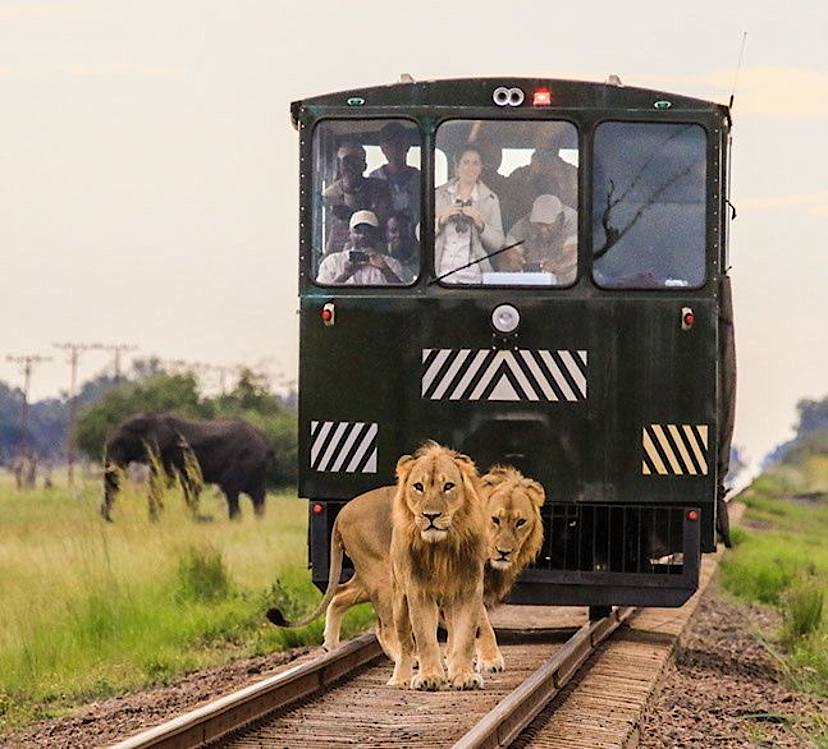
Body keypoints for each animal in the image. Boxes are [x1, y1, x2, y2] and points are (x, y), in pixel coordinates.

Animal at [102, 413, 273, 522]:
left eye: (121, 443)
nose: (110, 519)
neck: (151, 419)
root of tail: (265, 441)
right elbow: (188, 486)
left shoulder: (163, 452)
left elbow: (159, 483)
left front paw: (154, 521)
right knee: (257, 496)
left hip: (246, 460)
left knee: (231, 490)